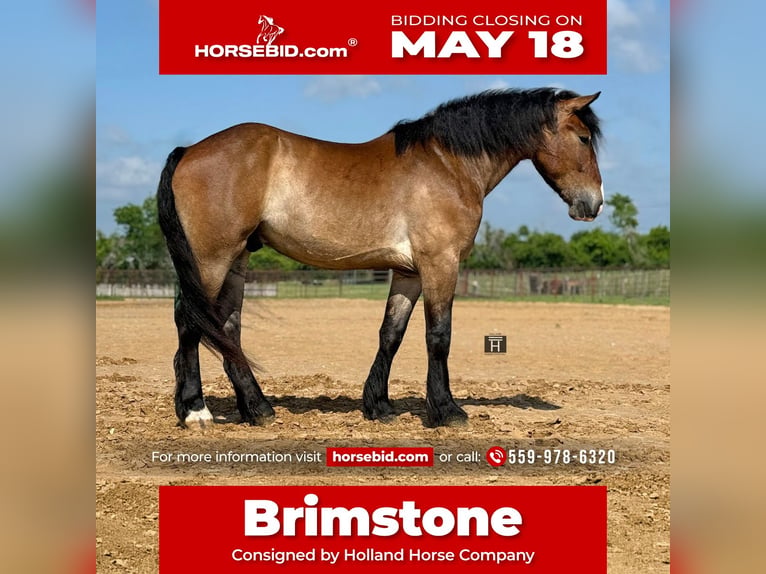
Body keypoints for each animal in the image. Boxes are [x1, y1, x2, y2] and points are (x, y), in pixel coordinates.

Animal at [157, 88, 604, 430]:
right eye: (583, 138)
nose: (594, 204)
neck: (446, 164)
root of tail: (189, 150)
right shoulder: (441, 264)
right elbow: (438, 336)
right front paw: (447, 411)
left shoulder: (408, 272)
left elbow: (391, 334)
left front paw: (380, 406)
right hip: (211, 260)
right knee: (189, 323)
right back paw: (196, 411)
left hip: (236, 260)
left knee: (227, 329)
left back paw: (258, 409)